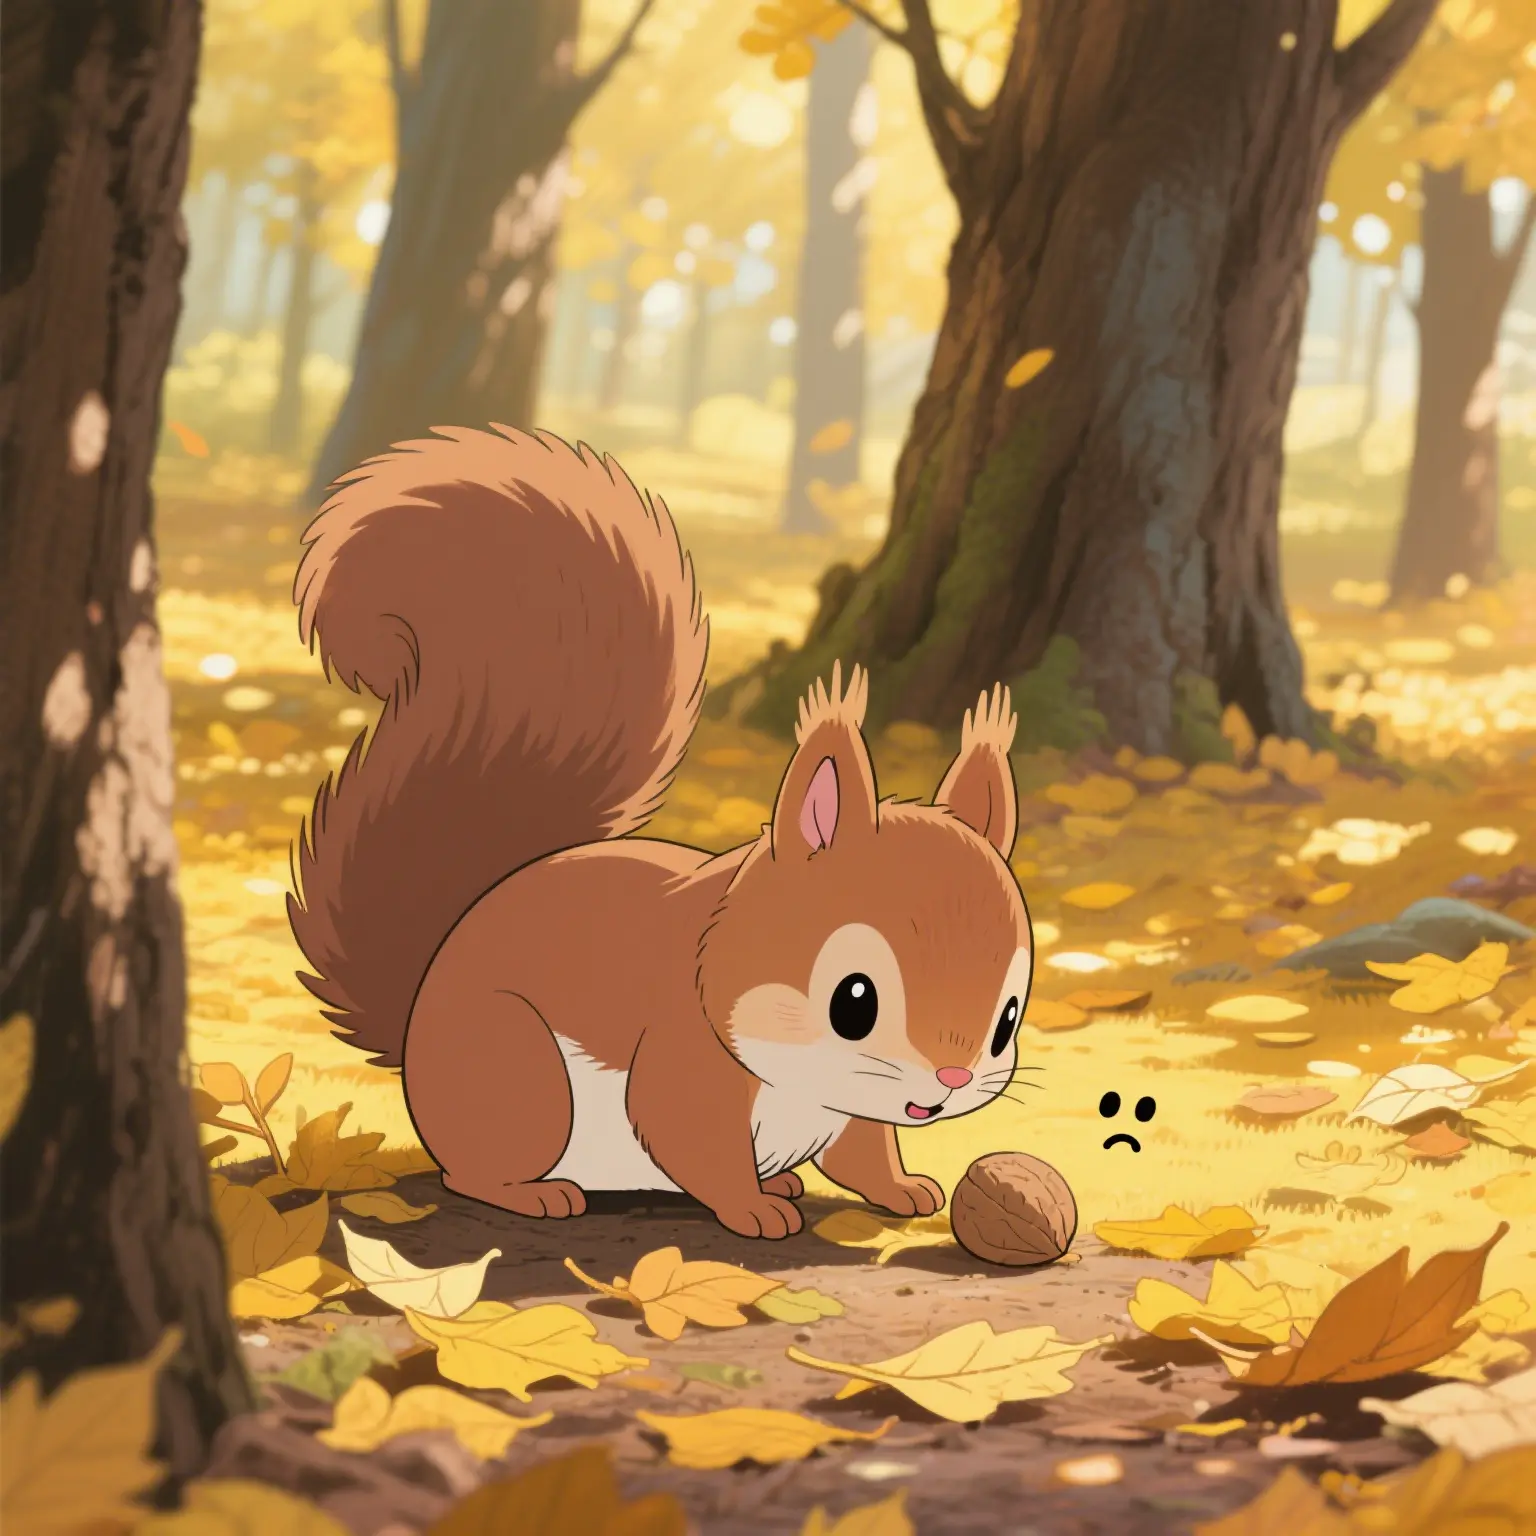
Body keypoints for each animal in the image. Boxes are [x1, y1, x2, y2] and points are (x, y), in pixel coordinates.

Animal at [288, 426, 1034, 1239]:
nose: (952, 1079)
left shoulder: (857, 1107)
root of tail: (417, 1025)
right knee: (471, 1168)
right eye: (854, 1002)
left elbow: (862, 1152)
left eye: (1009, 1019)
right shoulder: (683, 1057)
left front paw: (902, 1190)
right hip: (516, 1075)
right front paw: (750, 1208)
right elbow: (688, 1135)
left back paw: (782, 1180)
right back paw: (537, 1193)